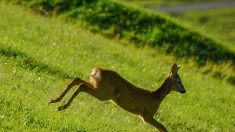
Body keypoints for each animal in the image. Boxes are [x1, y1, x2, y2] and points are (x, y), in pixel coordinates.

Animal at [49, 63, 185, 131]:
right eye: (179, 81)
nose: (184, 91)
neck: (156, 97)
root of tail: (98, 70)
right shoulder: (146, 115)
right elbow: (163, 127)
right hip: (103, 93)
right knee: (81, 85)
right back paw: (61, 106)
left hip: (97, 85)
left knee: (77, 80)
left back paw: (54, 100)